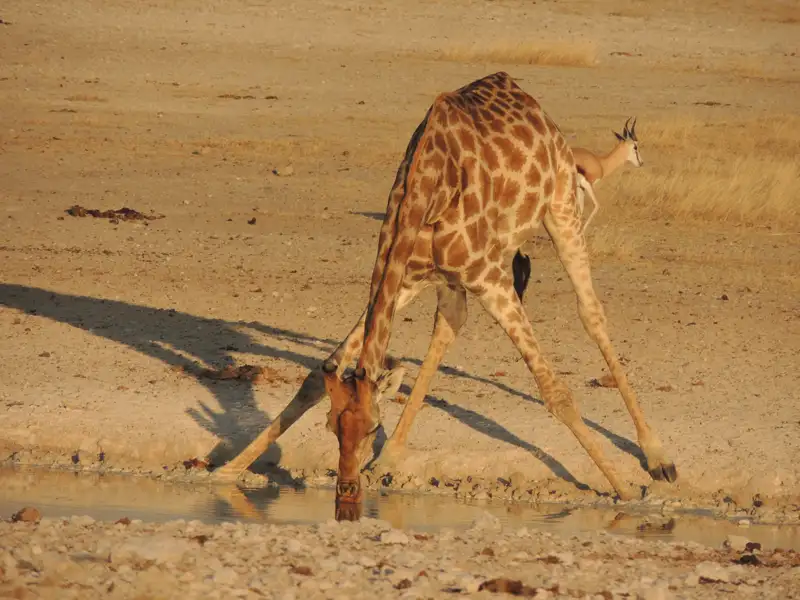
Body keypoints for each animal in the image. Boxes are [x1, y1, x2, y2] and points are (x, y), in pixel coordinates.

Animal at [215, 72, 676, 520]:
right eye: (332, 426)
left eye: (372, 426)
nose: (345, 498)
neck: (421, 190)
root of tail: (527, 98)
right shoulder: (406, 278)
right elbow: (314, 378)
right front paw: (227, 470)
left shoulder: (491, 278)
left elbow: (555, 391)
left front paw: (624, 491)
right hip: (453, 276)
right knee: (449, 325)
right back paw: (390, 458)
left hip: (560, 209)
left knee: (590, 311)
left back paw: (658, 457)